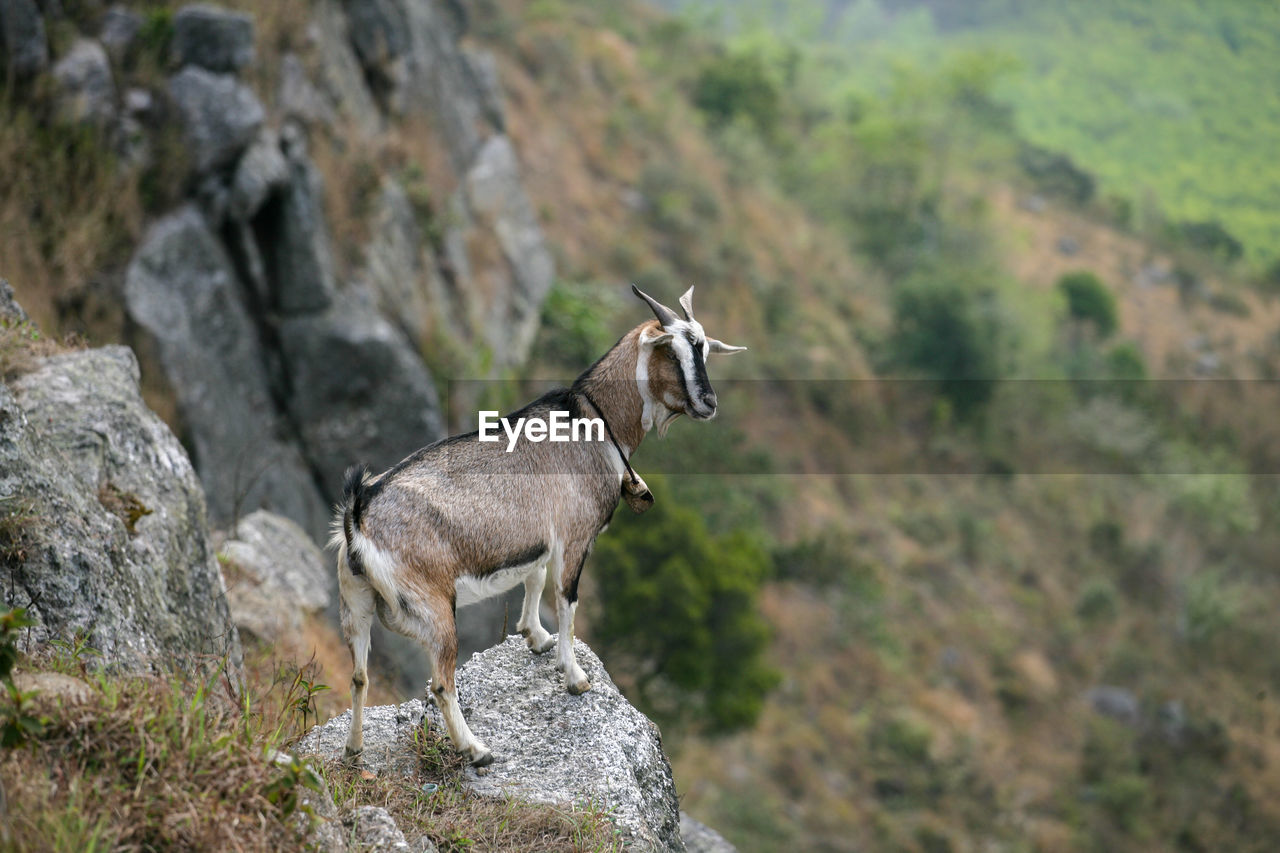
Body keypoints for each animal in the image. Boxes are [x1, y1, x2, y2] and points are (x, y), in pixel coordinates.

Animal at [330, 285, 747, 763]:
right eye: (671, 350)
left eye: (705, 348)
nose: (709, 403)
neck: (592, 422)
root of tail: (358, 516)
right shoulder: (575, 535)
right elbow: (567, 599)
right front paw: (575, 677)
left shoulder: (541, 535)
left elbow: (534, 576)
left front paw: (536, 638)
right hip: (434, 607)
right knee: (440, 682)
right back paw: (477, 750)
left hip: (355, 604)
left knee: (359, 676)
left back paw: (354, 750)